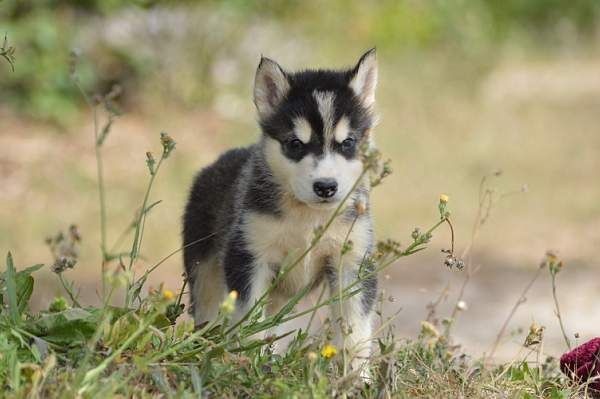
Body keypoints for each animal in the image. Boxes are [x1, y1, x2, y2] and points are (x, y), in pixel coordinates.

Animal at [184, 49, 380, 362]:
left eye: (348, 142)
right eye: (295, 144)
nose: (326, 187)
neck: (309, 218)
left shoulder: (352, 262)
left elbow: (355, 336)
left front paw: (357, 375)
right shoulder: (249, 255)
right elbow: (249, 323)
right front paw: (246, 362)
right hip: (205, 275)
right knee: (209, 313)